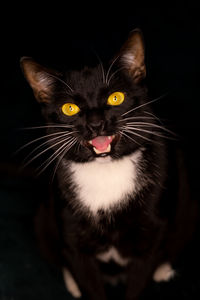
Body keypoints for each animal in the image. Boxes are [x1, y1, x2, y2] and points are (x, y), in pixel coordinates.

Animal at [19, 28, 198, 300]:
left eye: (116, 97)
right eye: (69, 108)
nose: (95, 123)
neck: (106, 170)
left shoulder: (151, 234)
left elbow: (140, 278)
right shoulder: (74, 238)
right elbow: (85, 277)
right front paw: (80, 285)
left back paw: (163, 269)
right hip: (43, 217)